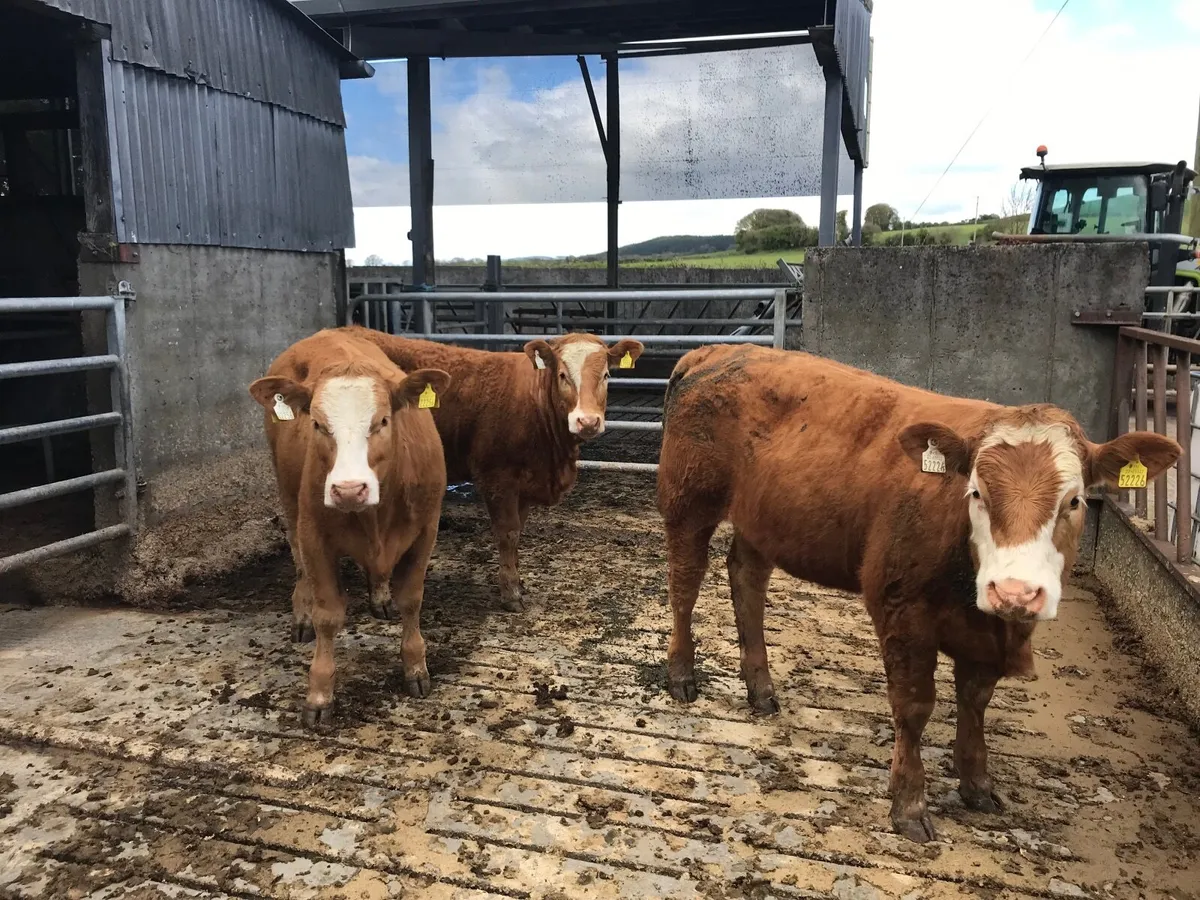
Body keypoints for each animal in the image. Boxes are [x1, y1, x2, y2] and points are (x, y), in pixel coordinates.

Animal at [249, 328, 451, 728]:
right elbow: (328, 616)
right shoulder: (315, 536)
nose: (348, 489)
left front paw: (415, 666)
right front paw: (319, 694)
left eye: (382, 421)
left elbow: (412, 599)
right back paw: (302, 612)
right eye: (317, 424)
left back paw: (380, 595)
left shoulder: (426, 530)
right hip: (288, 496)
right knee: (298, 561)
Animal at [350, 326, 644, 611]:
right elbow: (508, 534)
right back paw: (380, 597)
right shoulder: (497, 479)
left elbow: (518, 532)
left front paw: (518, 582)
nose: (588, 422)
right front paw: (511, 592)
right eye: (562, 375)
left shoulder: (524, 484)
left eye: (606, 375)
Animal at [656, 344, 1180, 842]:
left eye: (1073, 501)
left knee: (748, 579)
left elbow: (975, 701)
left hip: (762, 520)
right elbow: (914, 706)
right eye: (976, 493)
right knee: (685, 582)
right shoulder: (901, 609)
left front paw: (977, 785)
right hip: (688, 499)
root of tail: (715, 353)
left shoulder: (985, 634)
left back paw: (761, 688)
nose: (1015, 591)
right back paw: (682, 673)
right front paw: (908, 805)